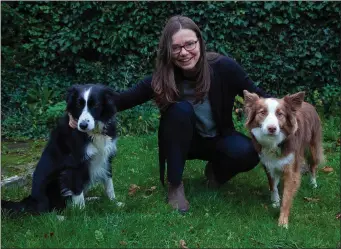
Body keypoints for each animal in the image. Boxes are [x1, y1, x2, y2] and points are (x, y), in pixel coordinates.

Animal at [1, 84, 120, 215]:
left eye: (95, 105)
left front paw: (114, 203)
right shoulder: (74, 164)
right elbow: (77, 191)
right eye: (78, 104)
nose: (82, 125)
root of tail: (31, 200)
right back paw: (60, 216)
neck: (93, 133)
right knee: (46, 210)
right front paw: (81, 213)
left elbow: (109, 182)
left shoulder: (106, 157)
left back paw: (92, 199)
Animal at [242, 90, 324, 229]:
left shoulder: (291, 169)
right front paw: (275, 201)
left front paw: (283, 222)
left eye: (280, 114)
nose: (272, 128)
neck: (274, 143)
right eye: (262, 112)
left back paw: (313, 183)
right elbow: (272, 185)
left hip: (313, 147)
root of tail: (307, 103)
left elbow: (287, 196)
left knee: (313, 166)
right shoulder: (268, 164)